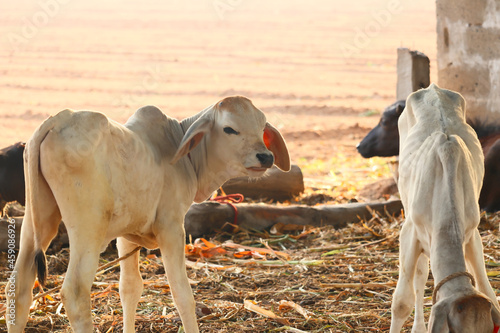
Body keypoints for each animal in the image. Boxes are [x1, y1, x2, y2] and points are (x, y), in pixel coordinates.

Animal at [6, 94, 290, 330]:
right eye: (229, 128)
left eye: (261, 127)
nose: (265, 156)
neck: (185, 155)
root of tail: (57, 120)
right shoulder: (171, 228)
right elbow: (182, 293)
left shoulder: (126, 236)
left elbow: (130, 289)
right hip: (87, 228)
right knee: (75, 293)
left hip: (37, 221)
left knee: (17, 289)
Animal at [390, 84, 500, 330]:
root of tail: (432, 88)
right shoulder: (409, 232)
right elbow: (402, 301)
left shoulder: (472, 233)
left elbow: (487, 289)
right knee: (420, 276)